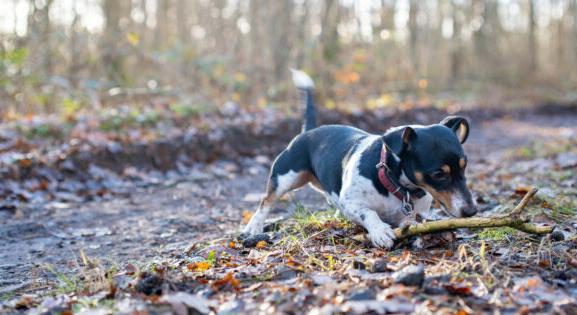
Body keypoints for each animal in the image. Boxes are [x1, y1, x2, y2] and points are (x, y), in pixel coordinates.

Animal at [241, 69, 474, 249]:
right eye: (438, 174)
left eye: (464, 167)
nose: (472, 211)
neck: (395, 186)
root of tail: (309, 131)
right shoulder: (351, 202)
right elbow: (368, 213)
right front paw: (380, 231)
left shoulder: (417, 213)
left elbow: (413, 222)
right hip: (285, 177)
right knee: (266, 201)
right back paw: (254, 226)